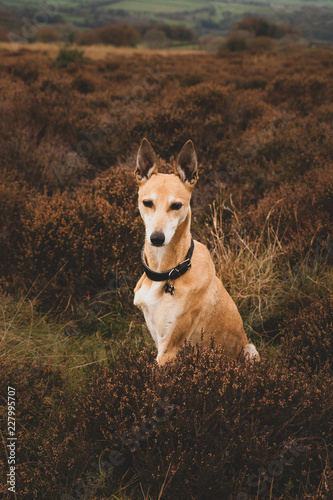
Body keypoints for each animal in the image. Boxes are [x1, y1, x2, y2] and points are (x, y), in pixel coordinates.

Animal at [133, 139, 260, 366]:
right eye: (147, 203)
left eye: (176, 205)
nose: (156, 238)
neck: (169, 271)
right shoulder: (158, 337)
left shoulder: (169, 348)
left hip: (249, 349)